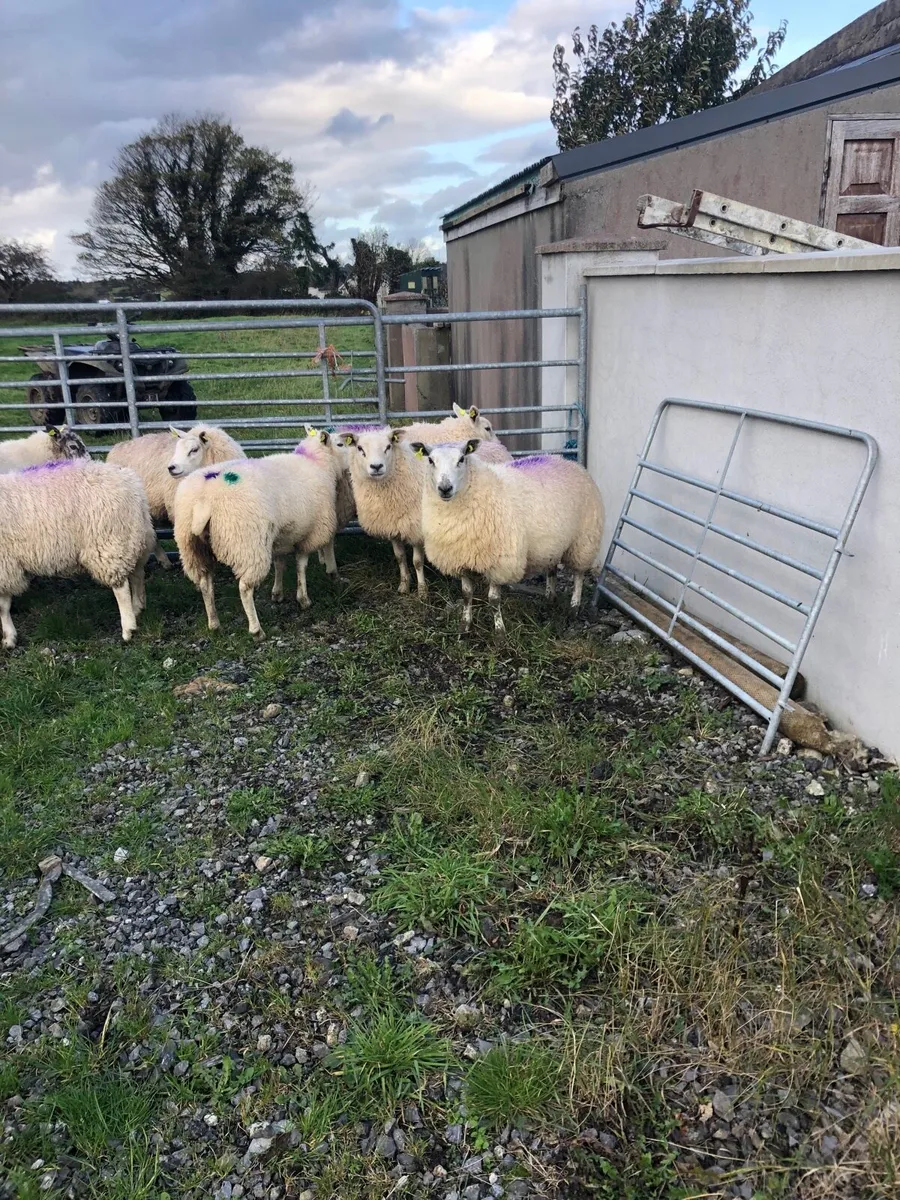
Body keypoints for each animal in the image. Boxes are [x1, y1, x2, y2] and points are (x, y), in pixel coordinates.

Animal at [0, 459, 155, 649]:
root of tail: (130, 482)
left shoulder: (4, 565)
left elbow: (3, 607)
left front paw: (9, 638)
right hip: (136, 538)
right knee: (138, 574)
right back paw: (138, 607)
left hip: (109, 542)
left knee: (121, 588)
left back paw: (128, 628)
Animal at [173, 434, 341, 639]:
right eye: (340, 444)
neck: (316, 461)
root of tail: (204, 500)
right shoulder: (310, 534)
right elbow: (301, 565)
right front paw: (303, 599)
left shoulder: (280, 537)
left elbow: (279, 564)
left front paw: (277, 593)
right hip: (247, 544)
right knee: (244, 588)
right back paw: (256, 630)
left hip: (192, 547)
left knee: (205, 584)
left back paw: (214, 624)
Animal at [339, 424, 512, 596]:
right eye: (360, 448)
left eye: (388, 446)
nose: (376, 467)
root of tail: (496, 445)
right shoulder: (394, 526)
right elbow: (400, 557)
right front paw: (404, 585)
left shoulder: (417, 529)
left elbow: (417, 561)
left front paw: (422, 591)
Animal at [410, 441, 604, 634]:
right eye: (430, 460)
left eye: (462, 459)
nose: (445, 488)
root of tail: (567, 461)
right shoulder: (460, 559)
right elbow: (466, 594)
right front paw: (465, 625)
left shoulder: (499, 561)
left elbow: (494, 599)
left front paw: (499, 632)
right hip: (553, 542)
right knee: (552, 568)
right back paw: (550, 597)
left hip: (584, 540)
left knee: (579, 575)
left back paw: (574, 607)